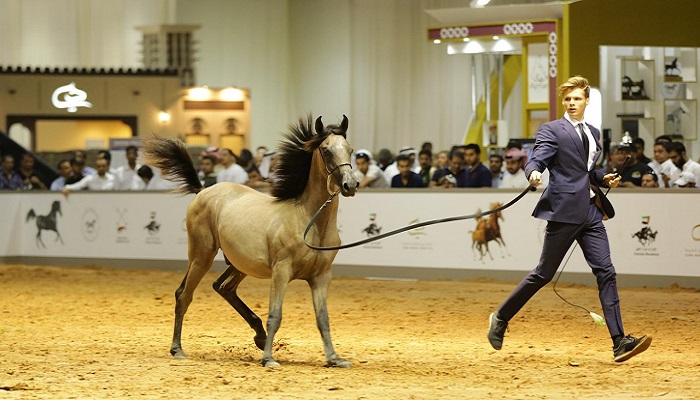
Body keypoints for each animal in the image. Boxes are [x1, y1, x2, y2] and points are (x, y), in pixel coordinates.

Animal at [144, 114, 358, 368]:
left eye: (350, 149)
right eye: (326, 150)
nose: (350, 185)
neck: (308, 220)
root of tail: (203, 190)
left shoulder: (321, 276)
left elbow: (323, 318)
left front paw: (335, 358)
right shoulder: (281, 271)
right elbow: (275, 315)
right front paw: (268, 359)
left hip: (238, 264)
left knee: (222, 287)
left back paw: (259, 336)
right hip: (201, 256)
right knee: (184, 295)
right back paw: (178, 350)